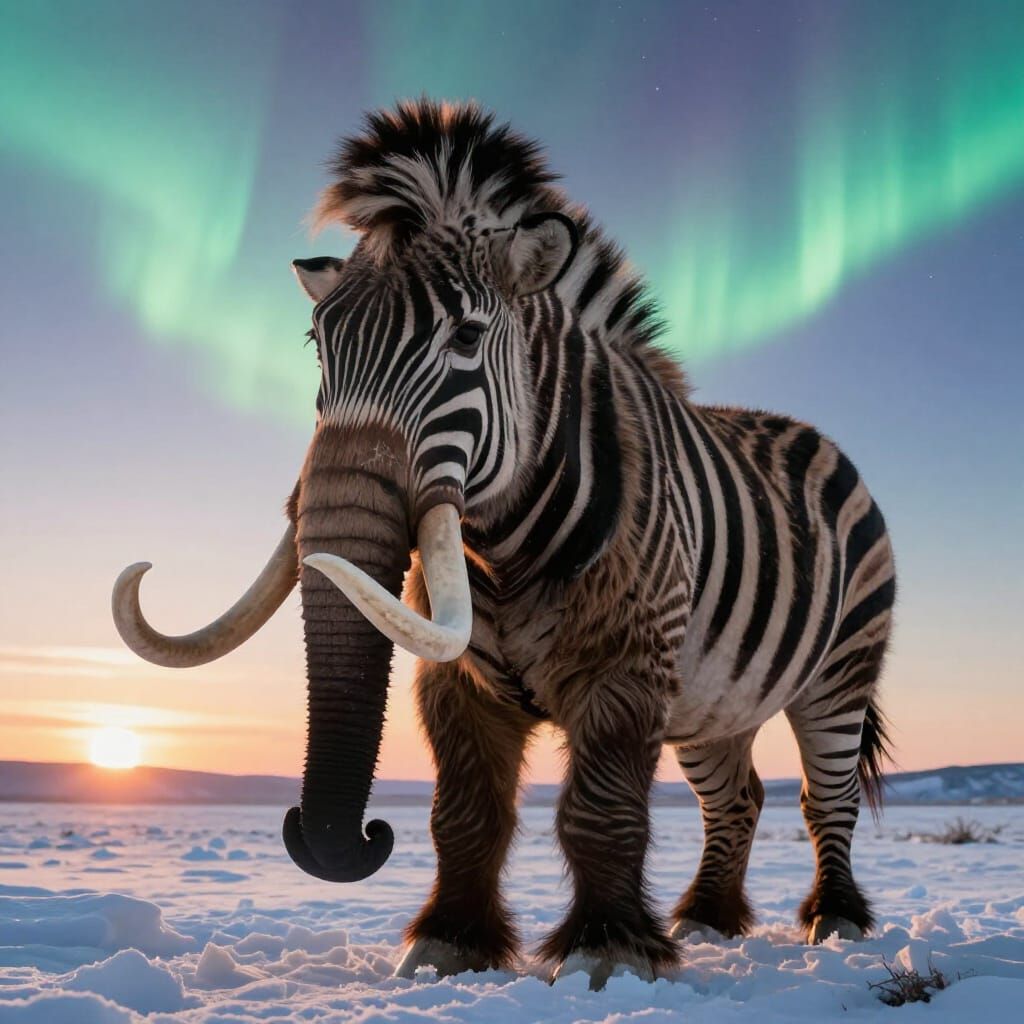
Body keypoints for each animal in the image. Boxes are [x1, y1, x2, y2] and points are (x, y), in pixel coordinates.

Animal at [112, 100, 896, 988]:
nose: (362, 837)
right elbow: (467, 810)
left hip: (838, 673)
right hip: (715, 699)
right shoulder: (462, 683)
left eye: (463, 339)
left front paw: (606, 954)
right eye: (317, 345)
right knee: (738, 796)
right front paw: (450, 946)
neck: (505, 540)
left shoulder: (631, 660)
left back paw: (835, 924)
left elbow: (598, 807)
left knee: (824, 794)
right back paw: (707, 922)